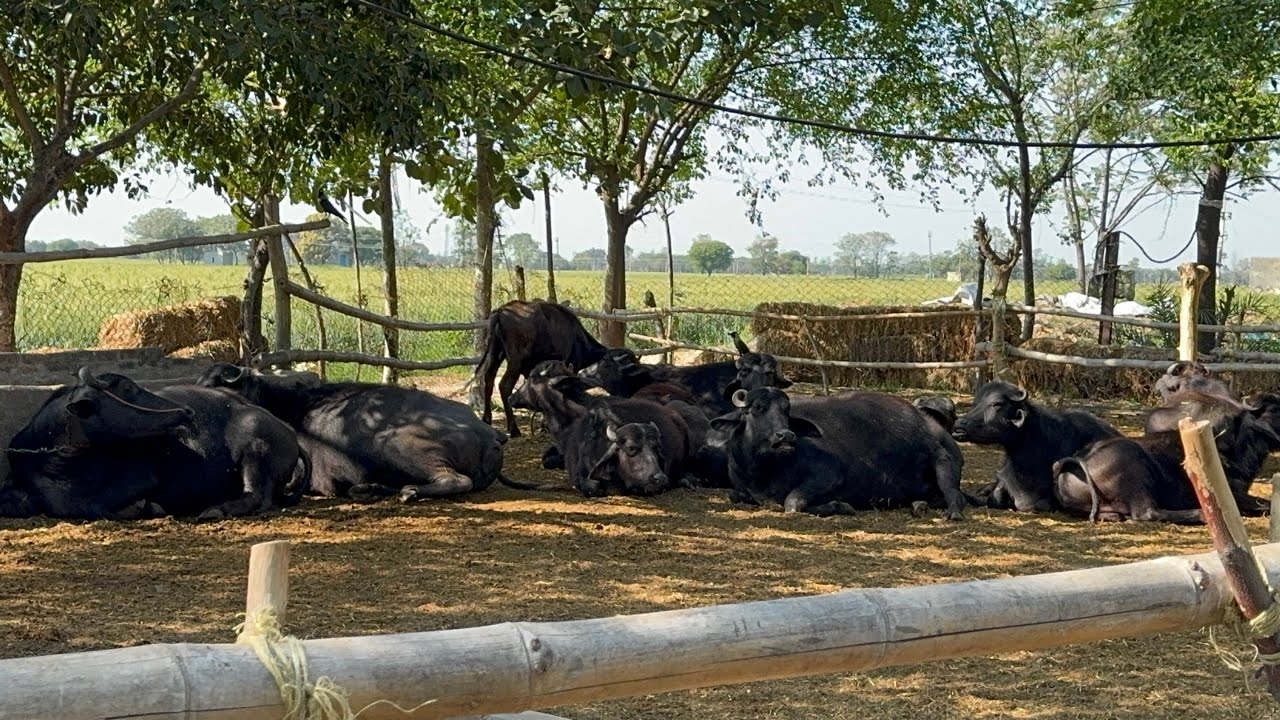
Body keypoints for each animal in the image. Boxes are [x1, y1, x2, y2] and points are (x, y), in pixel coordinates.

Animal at [2, 368, 307, 520]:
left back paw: (216, 509)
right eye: (128, 389)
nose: (186, 412)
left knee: (258, 496)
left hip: (255, 450)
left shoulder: (142, 477)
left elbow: (92, 506)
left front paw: (146, 508)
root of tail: (287, 430)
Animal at [198, 363, 512, 502]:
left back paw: (408, 492)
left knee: (456, 480)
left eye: (215, 384)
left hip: (396, 444)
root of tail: (489, 432)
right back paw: (370, 488)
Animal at [471, 300, 610, 436]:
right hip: (515, 361)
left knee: (488, 379)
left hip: (495, 353)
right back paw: (514, 428)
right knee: (504, 386)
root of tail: (500, 312)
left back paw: (487, 419)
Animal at [712, 387, 967, 519]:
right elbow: (735, 495)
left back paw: (951, 512)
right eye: (757, 408)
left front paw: (839, 506)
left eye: (786, 411)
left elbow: (792, 502)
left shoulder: (829, 475)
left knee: (955, 496)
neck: (763, 470)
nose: (786, 435)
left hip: (943, 460)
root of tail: (930, 423)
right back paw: (918, 506)